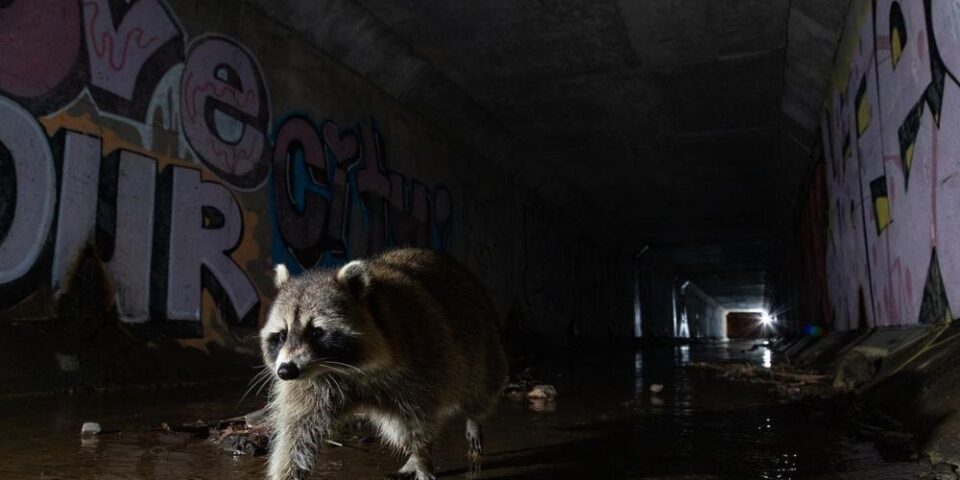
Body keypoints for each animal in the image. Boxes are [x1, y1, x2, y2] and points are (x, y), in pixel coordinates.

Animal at [260, 247, 508, 480]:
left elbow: (416, 423)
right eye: (282, 335)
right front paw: (287, 471)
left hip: (480, 339)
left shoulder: (418, 365)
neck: (342, 367)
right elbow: (297, 431)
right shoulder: (312, 383)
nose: (285, 371)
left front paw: (422, 459)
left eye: (315, 331)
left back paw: (474, 417)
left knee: (480, 384)